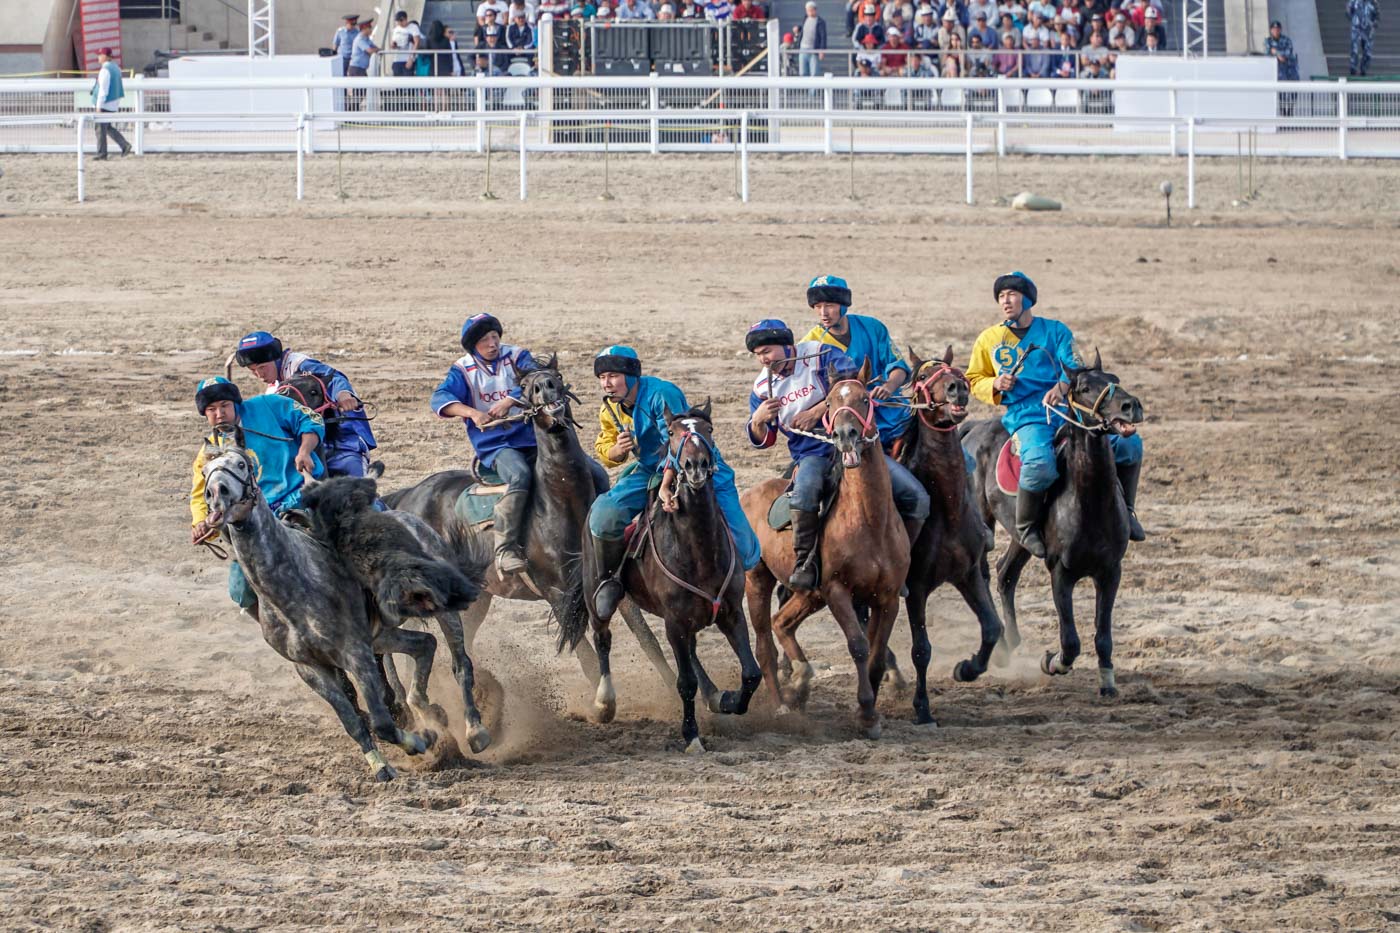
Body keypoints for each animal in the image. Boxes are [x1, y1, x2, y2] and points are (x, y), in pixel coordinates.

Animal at [200, 442, 442, 778]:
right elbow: (353, 721)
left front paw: (422, 740)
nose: (216, 493)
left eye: (241, 464)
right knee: (425, 645)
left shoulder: (356, 653)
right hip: (383, 635)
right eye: (204, 472)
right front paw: (380, 764)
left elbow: (381, 721)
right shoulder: (310, 668)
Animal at [380, 355, 669, 706]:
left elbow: (648, 641)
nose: (547, 386)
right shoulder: (556, 594)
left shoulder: (607, 581)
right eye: (526, 386)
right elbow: (586, 659)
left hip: (477, 599)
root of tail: (406, 498)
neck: (561, 502)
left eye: (556, 374)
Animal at [579, 400, 761, 750]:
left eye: (708, 430)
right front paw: (691, 735)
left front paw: (728, 701)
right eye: (674, 433)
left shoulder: (731, 613)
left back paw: (714, 695)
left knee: (692, 654)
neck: (700, 552)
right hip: (596, 597)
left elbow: (751, 674)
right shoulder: (674, 622)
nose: (695, 466)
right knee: (602, 637)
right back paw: (604, 701)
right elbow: (685, 683)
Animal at [896, 344, 1008, 722]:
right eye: (921, 376)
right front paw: (922, 708)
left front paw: (968, 668)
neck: (947, 508)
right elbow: (921, 650)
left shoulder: (968, 573)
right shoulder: (915, 587)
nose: (957, 388)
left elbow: (992, 628)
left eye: (955, 370)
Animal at [963, 353, 1148, 694]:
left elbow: (1103, 636)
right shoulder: (1061, 573)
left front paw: (1108, 683)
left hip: (1020, 537)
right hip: (982, 521)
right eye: (1085, 387)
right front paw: (1051, 661)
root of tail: (973, 428)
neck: (1089, 502)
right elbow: (1070, 641)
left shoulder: (1110, 572)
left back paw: (1011, 639)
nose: (1131, 406)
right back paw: (1000, 647)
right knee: (983, 573)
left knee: (1006, 573)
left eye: (1114, 378)